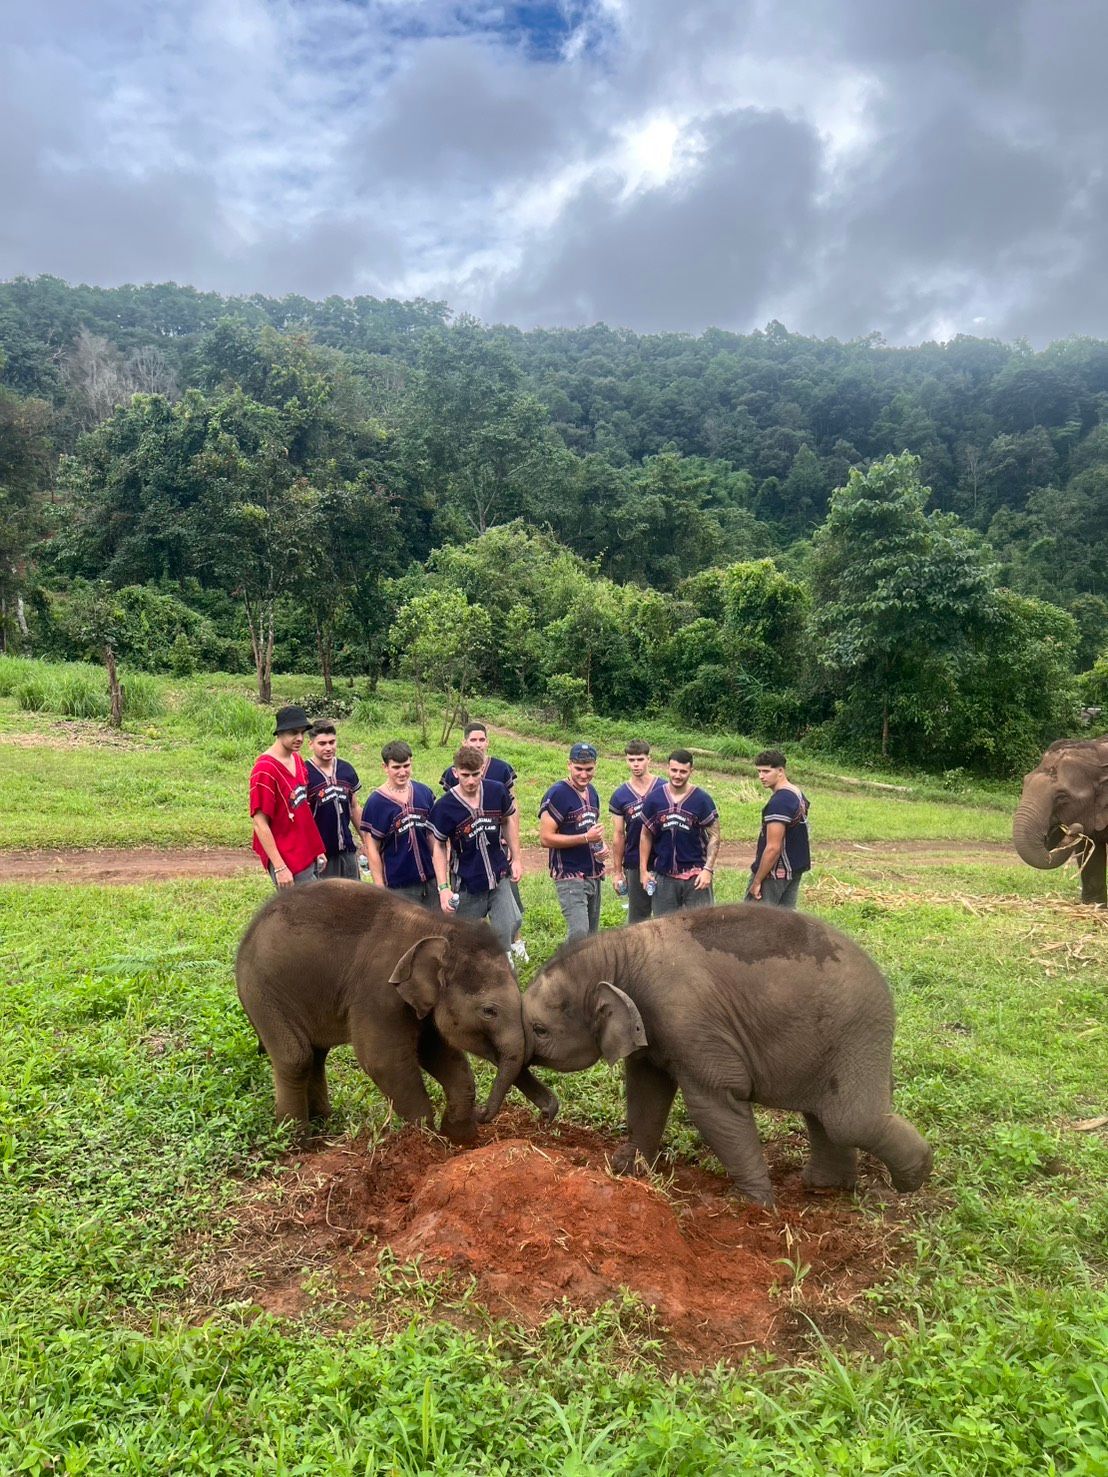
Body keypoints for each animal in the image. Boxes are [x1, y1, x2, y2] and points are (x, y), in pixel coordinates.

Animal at [235, 880, 557, 1141]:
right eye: (489, 1011)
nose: (549, 1111)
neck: (437, 928)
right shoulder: (379, 992)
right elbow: (384, 1060)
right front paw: (426, 1144)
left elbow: (439, 1055)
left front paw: (460, 1139)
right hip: (264, 993)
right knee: (296, 1058)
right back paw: (299, 1142)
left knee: (316, 1055)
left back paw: (324, 1124)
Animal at [521, 904, 932, 1207]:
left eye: (539, 1030)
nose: (548, 1113)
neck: (620, 948)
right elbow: (646, 1089)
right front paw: (624, 1166)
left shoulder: (689, 1022)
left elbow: (714, 1103)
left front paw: (752, 1206)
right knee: (825, 1116)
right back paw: (825, 1188)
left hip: (856, 1034)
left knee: (849, 1120)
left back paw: (914, 1179)